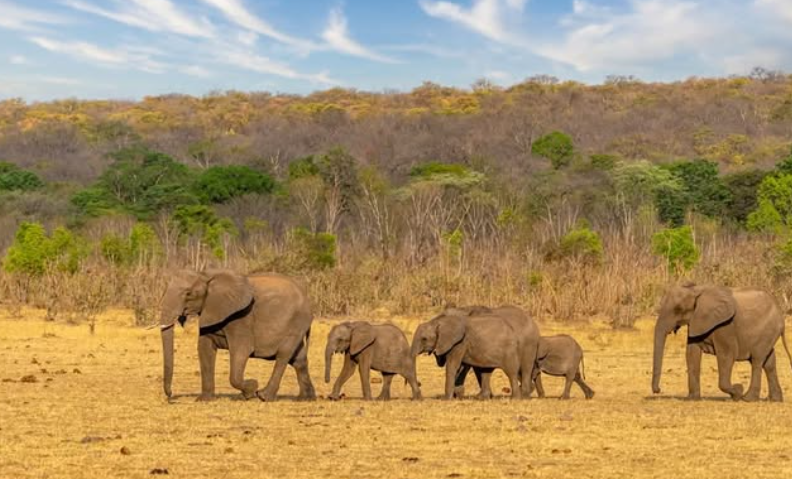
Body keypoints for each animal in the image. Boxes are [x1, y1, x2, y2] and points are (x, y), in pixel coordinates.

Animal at [159, 270, 318, 402]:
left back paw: (264, 396)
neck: (207, 275)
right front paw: (204, 400)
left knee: (284, 355)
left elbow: (241, 350)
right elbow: (204, 349)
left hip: (297, 322)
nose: (171, 395)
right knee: (298, 359)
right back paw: (306, 399)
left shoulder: (241, 318)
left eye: (188, 294)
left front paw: (252, 388)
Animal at [648, 284, 792, 404]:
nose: (658, 390)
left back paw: (748, 399)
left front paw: (738, 391)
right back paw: (775, 400)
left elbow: (727, 355)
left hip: (767, 330)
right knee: (769, 362)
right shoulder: (696, 322)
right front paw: (692, 399)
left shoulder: (725, 325)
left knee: (757, 360)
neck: (696, 289)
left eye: (678, 309)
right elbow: (691, 353)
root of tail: (780, 313)